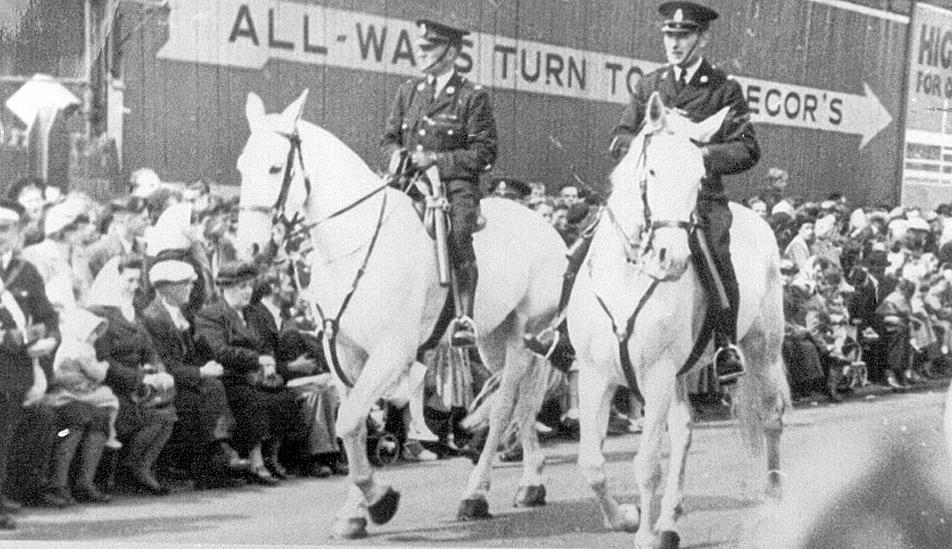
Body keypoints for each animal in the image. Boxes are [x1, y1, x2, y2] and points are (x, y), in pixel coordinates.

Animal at [236, 92, 564, 536]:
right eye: (241, 166)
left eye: (274, 167)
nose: (246, 252)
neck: (356, 243)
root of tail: (547, 229)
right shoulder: (344, 352)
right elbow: (353, 427)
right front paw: (356, 511)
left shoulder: (391, 352)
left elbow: (349, 421)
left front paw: (379, 501)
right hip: (495, 340)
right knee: (523, 405)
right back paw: (531, 484)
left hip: (524, 336)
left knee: (504, 408)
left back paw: (476, 495)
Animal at [568, 92, 792, 544]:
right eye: (652, 170)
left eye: (700, 178)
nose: (670, 259)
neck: (629, 275)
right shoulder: (596, 374)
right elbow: (592, 464)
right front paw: (625, 518)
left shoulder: (655, 375)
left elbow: (647, 463)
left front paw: (643, 536)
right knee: (685, 429)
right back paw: (671, 518)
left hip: (763, 350)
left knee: (771, 416)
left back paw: (774, 494)